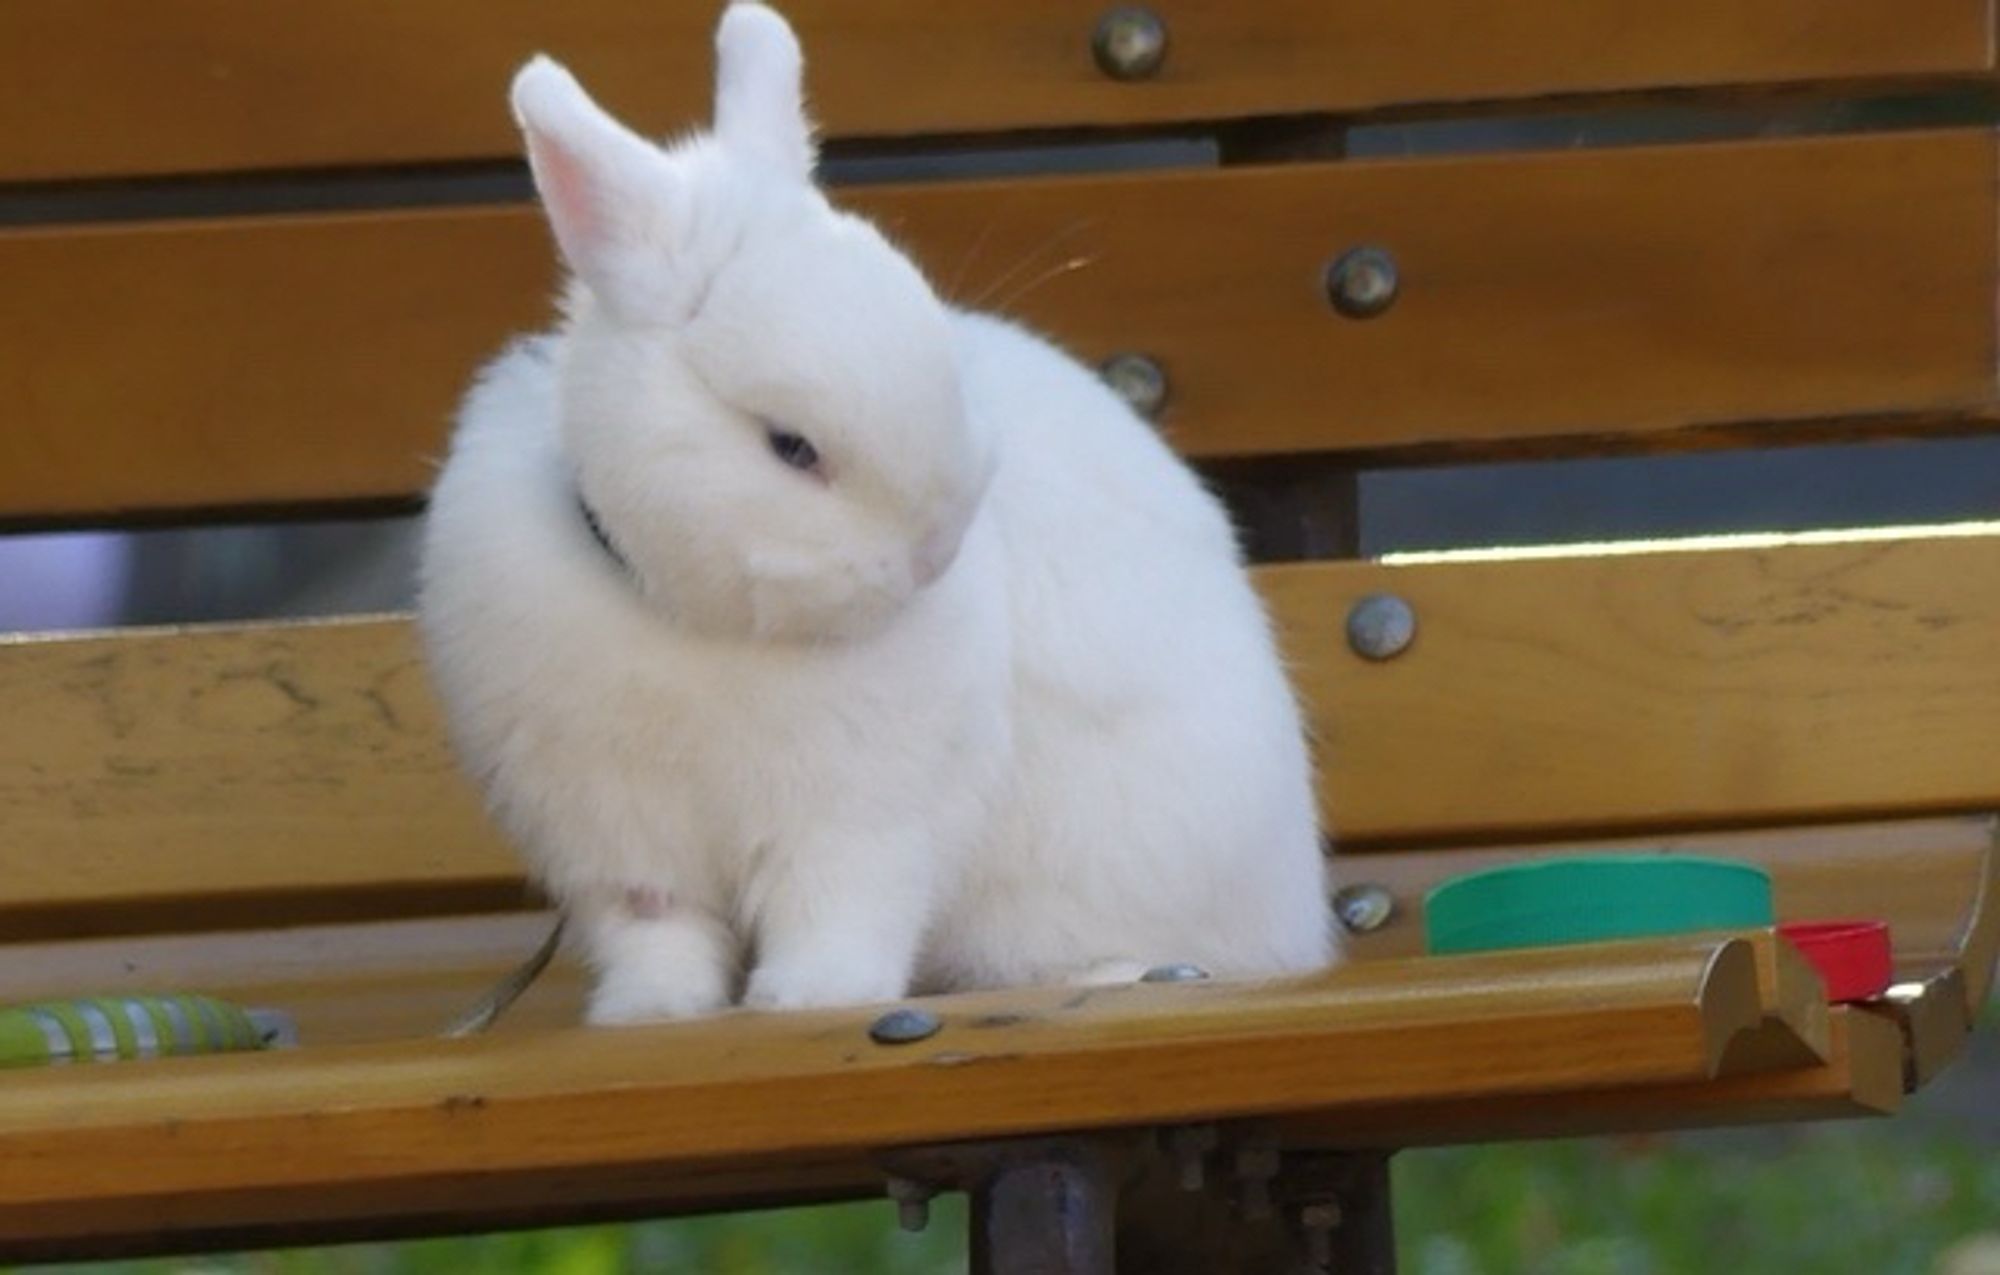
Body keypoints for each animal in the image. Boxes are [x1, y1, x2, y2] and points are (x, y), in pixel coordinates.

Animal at [416, 0, 1336, 1023]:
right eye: (791, 446)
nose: (935, 551)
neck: (699, 622)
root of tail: (1298, 910)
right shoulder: (620, 841)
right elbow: (658, 929)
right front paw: (651, 1012)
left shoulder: (862, 821)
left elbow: (841, 906)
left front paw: (810, 995)